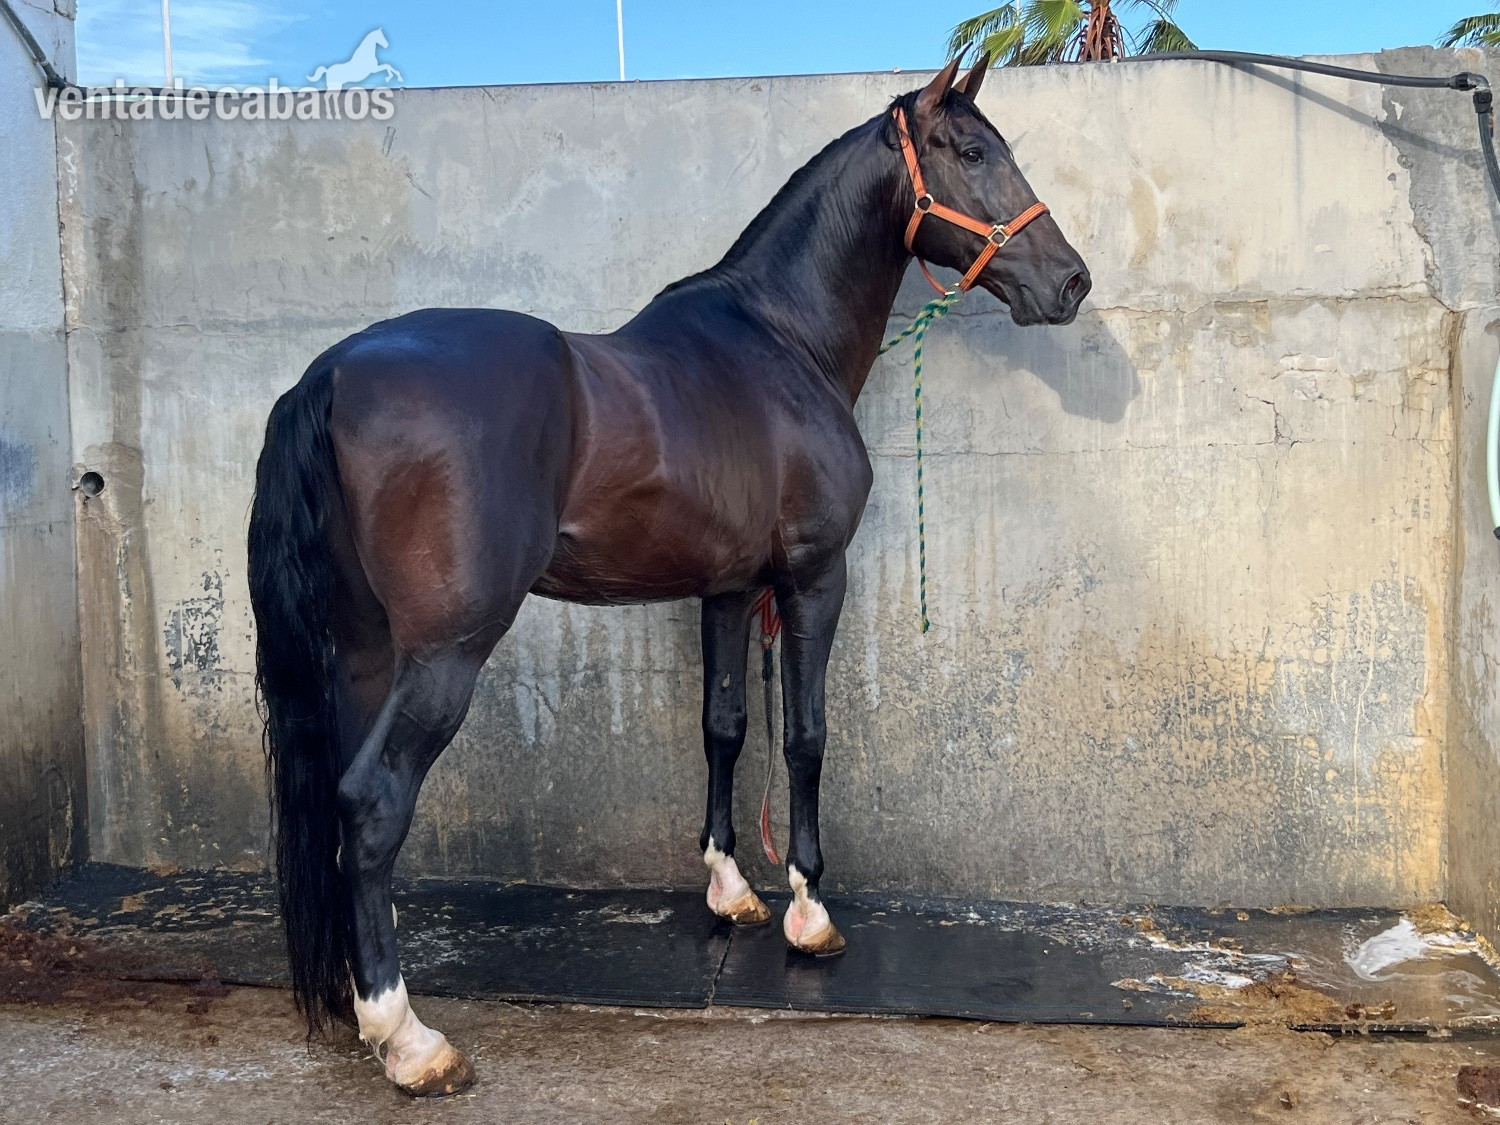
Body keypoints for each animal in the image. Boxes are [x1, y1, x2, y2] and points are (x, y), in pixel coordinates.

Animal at [247, 56, 1090, 1097]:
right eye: (971, 151)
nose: (1072, 279)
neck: (780, 342)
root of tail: (329, 373)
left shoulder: (725, 589)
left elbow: (724, 725)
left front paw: (730, 890)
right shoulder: (815, 579)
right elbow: (806, 737)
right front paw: (811, 910)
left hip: (364, 650)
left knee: (339, 799)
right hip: (445, 653)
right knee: (371, 804)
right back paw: (407, 1036)